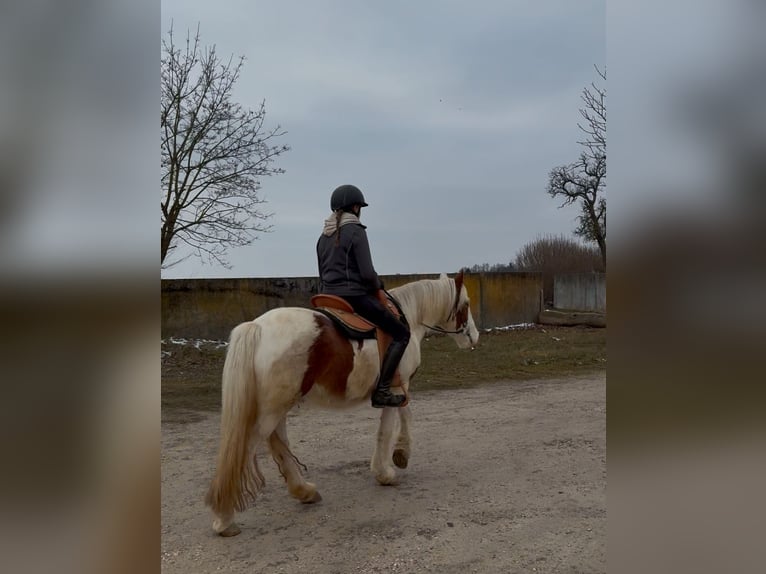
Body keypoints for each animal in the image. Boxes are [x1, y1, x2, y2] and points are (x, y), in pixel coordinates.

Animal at [204, 272, 480, 536]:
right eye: (466, 304)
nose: (474, 337)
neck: (409, 319)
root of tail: (257, 326)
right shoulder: (395, 388)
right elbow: (390, 426)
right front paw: (387, 470)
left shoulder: (399, 389)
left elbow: (404, 415)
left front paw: (399, 455)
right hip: (271, 412)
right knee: (244, 452)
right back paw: (224, 519)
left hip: (276, 408)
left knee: (280, 446)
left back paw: (304, 491)